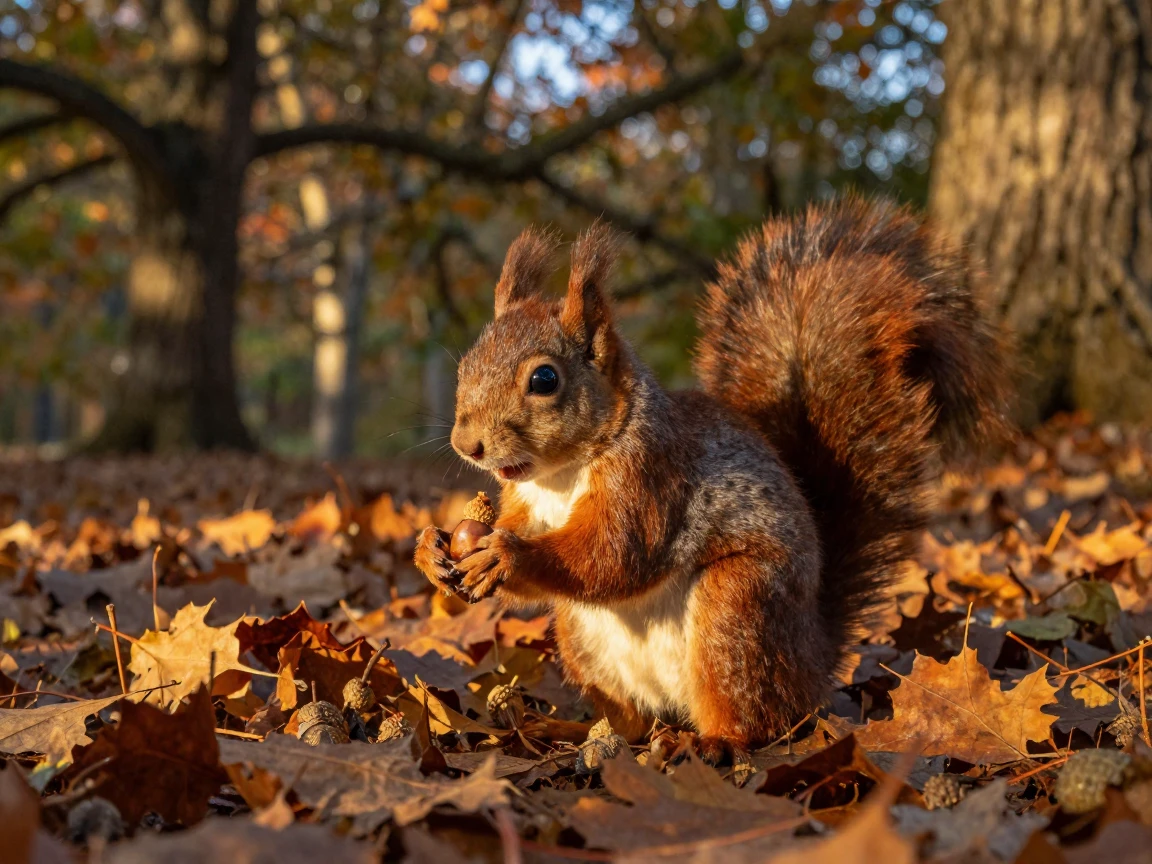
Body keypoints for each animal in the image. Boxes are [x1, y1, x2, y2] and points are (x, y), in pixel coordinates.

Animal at [414, 197, 1011, 762]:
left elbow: (614, 555)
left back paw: (709, 742)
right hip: (578, 635)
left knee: (755, 717)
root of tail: (815, 661)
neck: (560, 475)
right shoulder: (523, 500)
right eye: (466, 366)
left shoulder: (650, 478)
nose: (467, 444)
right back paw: (571, 729)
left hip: (737, 610)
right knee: (631, 722)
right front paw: (431, 548)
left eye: (544, 379)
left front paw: (505, 556)